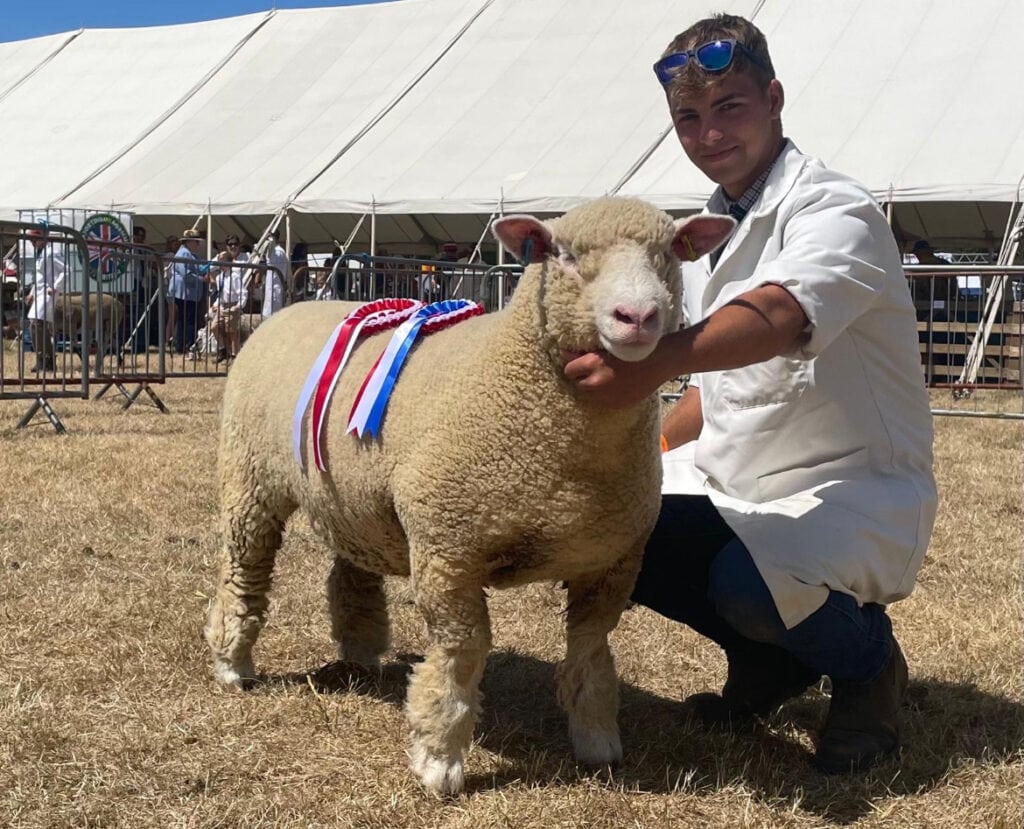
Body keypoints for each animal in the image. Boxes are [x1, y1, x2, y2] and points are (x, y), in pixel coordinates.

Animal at [204, 197, 735, 795]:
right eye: (565, 255)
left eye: (669, 253)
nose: (637, 317)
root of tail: (289, 310)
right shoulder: (447, 549)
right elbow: (462, 653)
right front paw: (439, 759)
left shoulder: (613, 561)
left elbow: (591, 651)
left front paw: (597, 740)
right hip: (250, 478)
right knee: (243, 570)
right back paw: (233, 665)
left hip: (353, 496)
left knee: (351, 571)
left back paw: (361, 652)